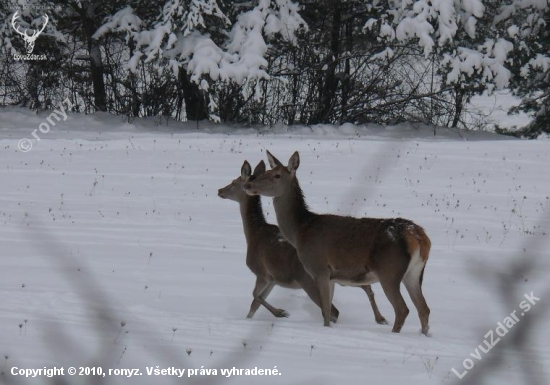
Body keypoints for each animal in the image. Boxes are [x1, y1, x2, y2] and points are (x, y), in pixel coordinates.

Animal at [219, 159, 340, 320]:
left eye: (233, 182)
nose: (219, 190)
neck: (252, 234)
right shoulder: (274, 279)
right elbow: (254, 304)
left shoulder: (261, 272)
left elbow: (255, 295)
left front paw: (280, 312)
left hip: (310, 280)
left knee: (334, 311)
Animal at [244, 150, 434, 332]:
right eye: (266, 172)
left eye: (276, 175)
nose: (248, 185)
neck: (299, 232)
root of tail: (418, 236)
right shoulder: (331, 277)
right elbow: (328, 309)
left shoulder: (320, 268)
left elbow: (327, 311)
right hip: (414, 272)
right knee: (424, 308)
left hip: (389, 271)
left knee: (402, 309)